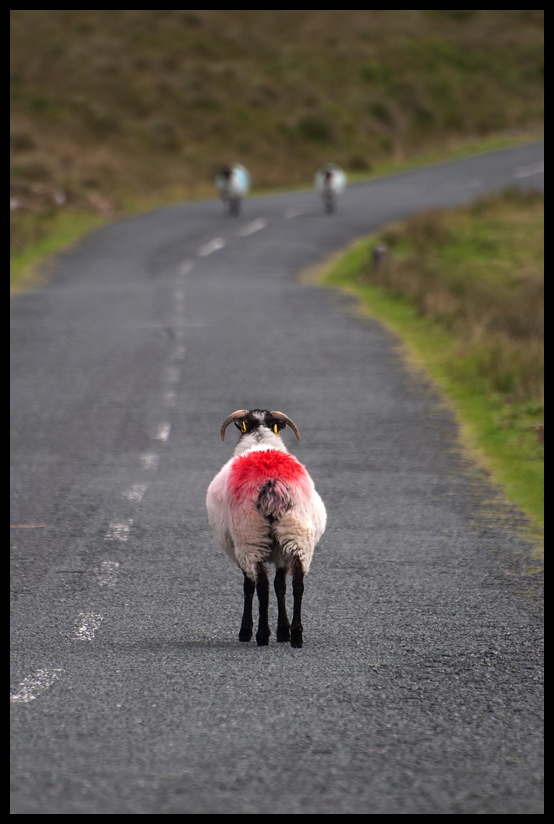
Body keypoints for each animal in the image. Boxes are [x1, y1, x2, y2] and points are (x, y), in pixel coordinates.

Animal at [206, 408, 326, 648]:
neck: (259, 439)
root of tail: (272, 483)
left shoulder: (239, 550)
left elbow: (249, 586)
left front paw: (247, 631)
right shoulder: (281, 552)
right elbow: (280, 585)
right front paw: (283, 631)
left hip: (250, 536)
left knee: (261, 586)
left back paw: (261, 635)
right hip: (297, 534)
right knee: (298, 584)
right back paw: (296, 635)